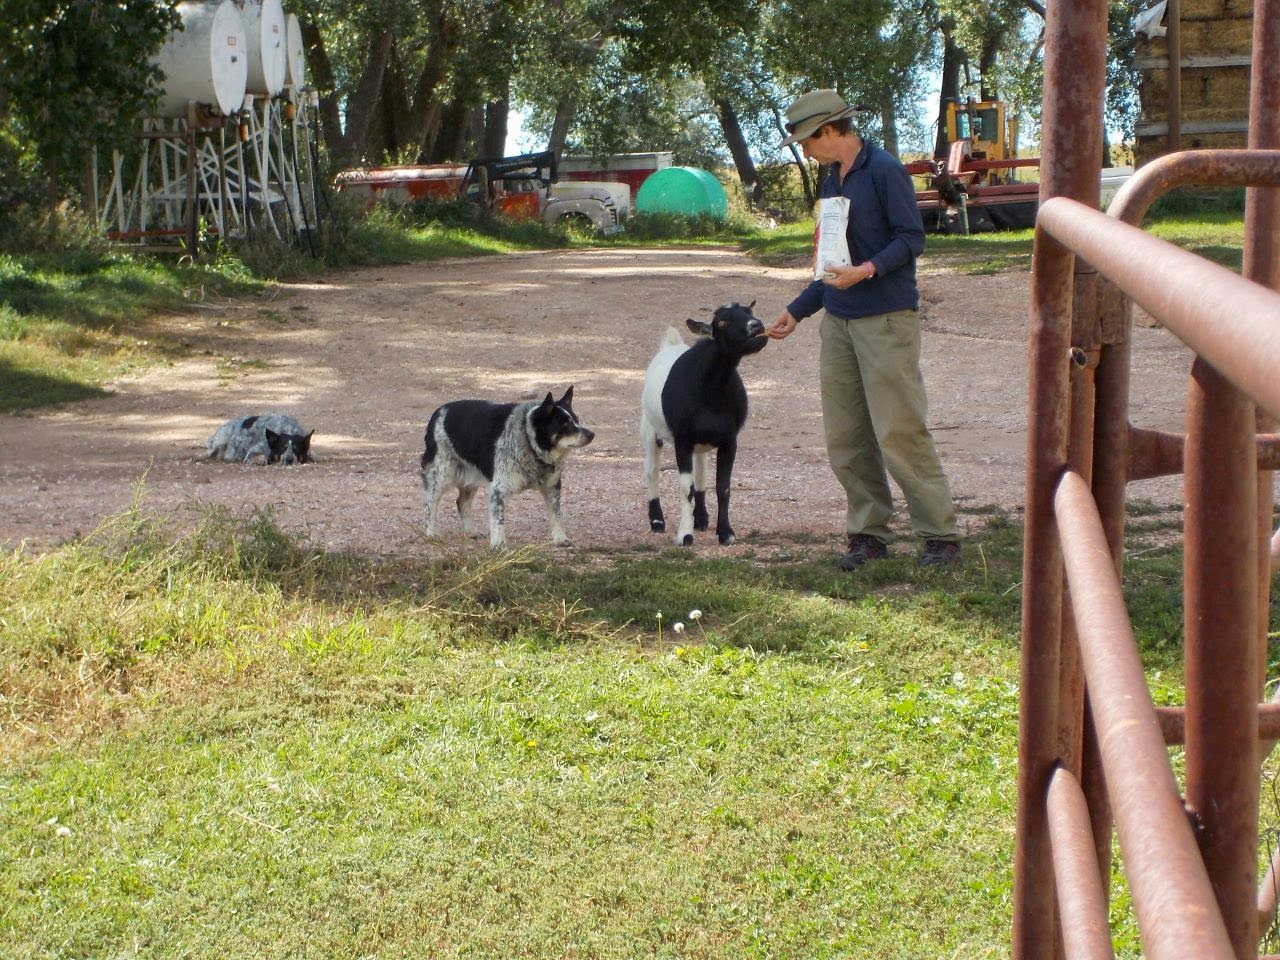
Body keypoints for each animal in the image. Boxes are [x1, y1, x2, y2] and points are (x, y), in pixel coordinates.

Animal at [420, 387, 594, 547]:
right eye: (565, 425)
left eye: (576, 420)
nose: (592, 434)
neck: (528, 439)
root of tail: (437, 413)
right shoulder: (499, 489)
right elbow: (498, 519)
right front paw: (499, 544)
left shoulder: (552, 487)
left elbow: (555, 515)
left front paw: (560, 538)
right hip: (441, 475)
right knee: (430, 504)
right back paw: (431, 532)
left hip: (471, 476)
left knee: (462, 502)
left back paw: (471, 532)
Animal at [640, 301, 768, 546]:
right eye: (722, 322)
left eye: (750, 312)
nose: (756, 326)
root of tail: (671, 345)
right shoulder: (682, 440)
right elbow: (684, 487)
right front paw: (684, 535)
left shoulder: (729, 440)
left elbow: (722, 487)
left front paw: (725, 533)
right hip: (649, 428)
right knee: (652, 469)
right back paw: (657, 520)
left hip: (702, 444)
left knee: (700, 475)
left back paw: (700, 518)